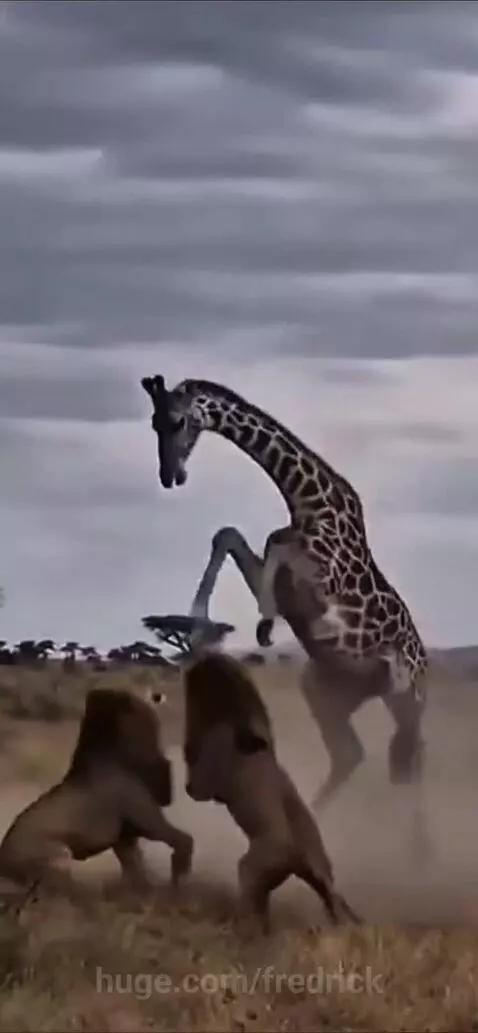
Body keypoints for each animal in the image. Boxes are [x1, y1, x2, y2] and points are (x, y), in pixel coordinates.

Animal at [0, 687, 193, 902]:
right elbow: (183, 840)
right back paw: (92, 895)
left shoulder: (125, 836)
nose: (158, 696)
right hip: (58, 853)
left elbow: (136, 869)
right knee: (58, 890)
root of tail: (3, 864)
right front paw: (179, 879)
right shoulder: (147, 821)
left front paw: (142, 895)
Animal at [141, 374, 429, 846]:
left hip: (406, 697)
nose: (170, 476)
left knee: (410, 761)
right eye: (153, 422)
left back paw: (419, 851)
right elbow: (230, 534)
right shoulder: (281, 571)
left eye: (179, 421)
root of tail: (426, 666)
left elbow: (276, 541)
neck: (307, 501)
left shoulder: (321, 577)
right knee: (353, 756)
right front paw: (200, 620)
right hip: (325, 690)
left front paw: (264, 621)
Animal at [182, 653, 359, 931]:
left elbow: (196, 779)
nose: (198, 660)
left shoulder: (205, 779)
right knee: (330, 899)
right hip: (313, 874)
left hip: (252, 867)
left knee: (252, 899)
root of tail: (297, 853)